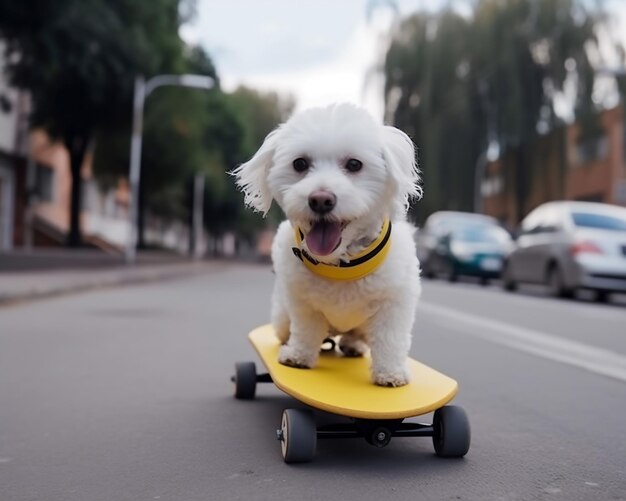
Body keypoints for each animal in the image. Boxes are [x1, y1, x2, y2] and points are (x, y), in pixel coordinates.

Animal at [232, 102, 422, 386]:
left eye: (354, 164)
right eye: (300, 163)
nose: (320, 199)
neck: (341, 265)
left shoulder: (395, 301)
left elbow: (391, 337)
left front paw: (391, 372)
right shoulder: (302, 301)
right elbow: (306, 329)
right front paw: (299, 355)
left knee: (358, 336)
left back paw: (353, 344)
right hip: (282, 317)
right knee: (288, 329)